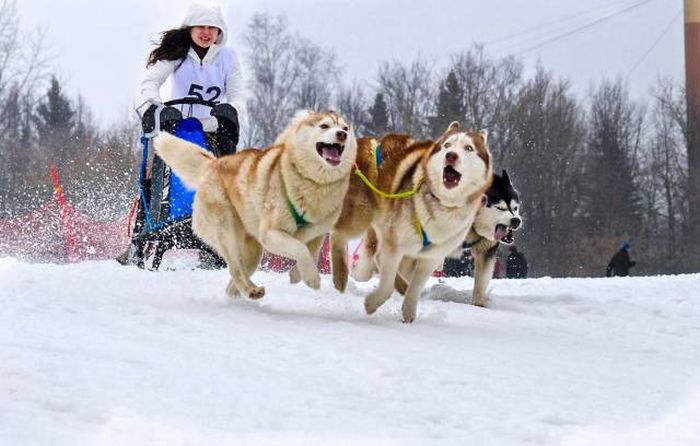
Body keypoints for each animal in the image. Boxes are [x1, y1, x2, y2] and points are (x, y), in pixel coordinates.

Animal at [153, 111, 356, 300]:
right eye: (324, 126)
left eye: (345, 128)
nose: (342, 134)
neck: (315, 185)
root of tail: (214, 163)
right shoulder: (271, 234)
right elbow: (301, 249)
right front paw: (311, 277)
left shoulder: (317, 232)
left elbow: (311, 251)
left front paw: (297, 274)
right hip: (227, 232)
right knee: (234, 268)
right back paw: (249, 290)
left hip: (253, 251)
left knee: (238, 274)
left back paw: (243, 292)